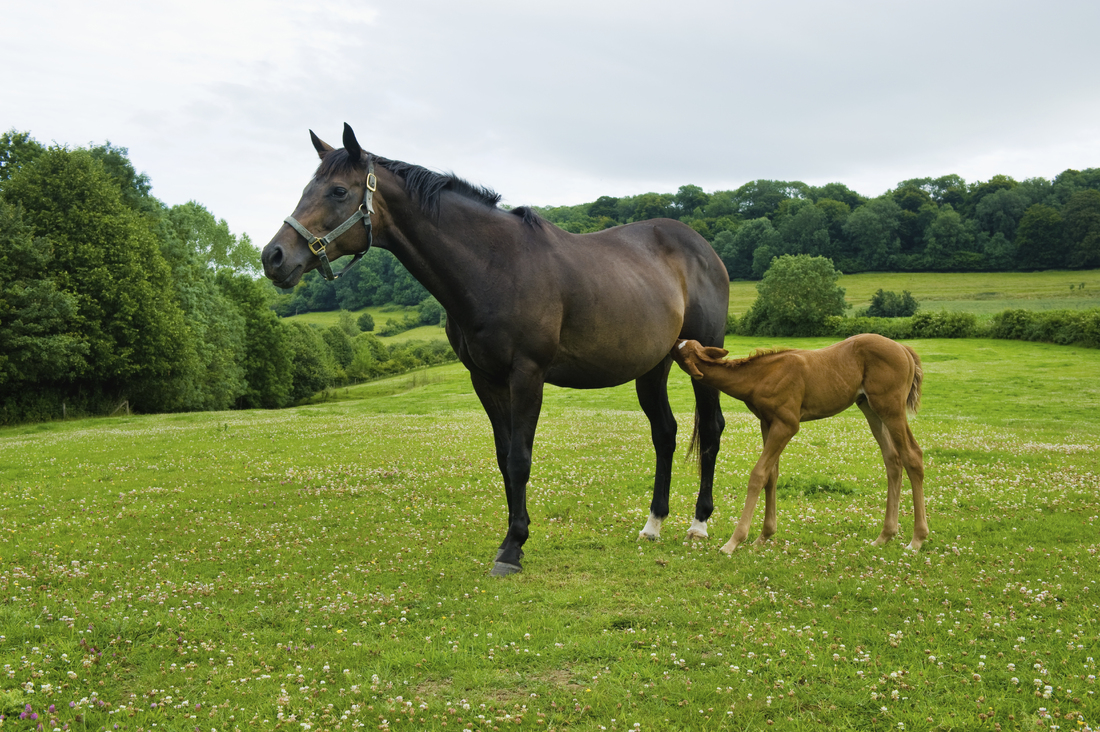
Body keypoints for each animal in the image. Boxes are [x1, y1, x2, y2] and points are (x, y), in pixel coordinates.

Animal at [261, 124, 730, 576]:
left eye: (339, 191)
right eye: (308, 188)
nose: (273, 257)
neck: (495, 266)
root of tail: (703, 248)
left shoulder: (527, 375)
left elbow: (520, 459)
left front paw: (512, 549)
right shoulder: (485, 379)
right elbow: (505, 460)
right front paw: (512, 538)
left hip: (704, 357)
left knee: (710, 429)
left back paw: (699, 524)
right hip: (652, 366)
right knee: (665, 433)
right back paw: (653, 523)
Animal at [671, 334, 928, 553]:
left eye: (679, 350)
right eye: (685, 343)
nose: (675, 338)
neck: (760, 376)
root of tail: (904, 349)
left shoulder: (787, 424)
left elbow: (758, 474)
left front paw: (734, 541)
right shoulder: (767, 422)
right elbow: (771, 475)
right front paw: (763, 536)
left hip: (891, 408)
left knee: (912, 455)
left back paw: (916, 539)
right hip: (870, 408)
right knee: (893, 459)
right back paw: (885, 536)